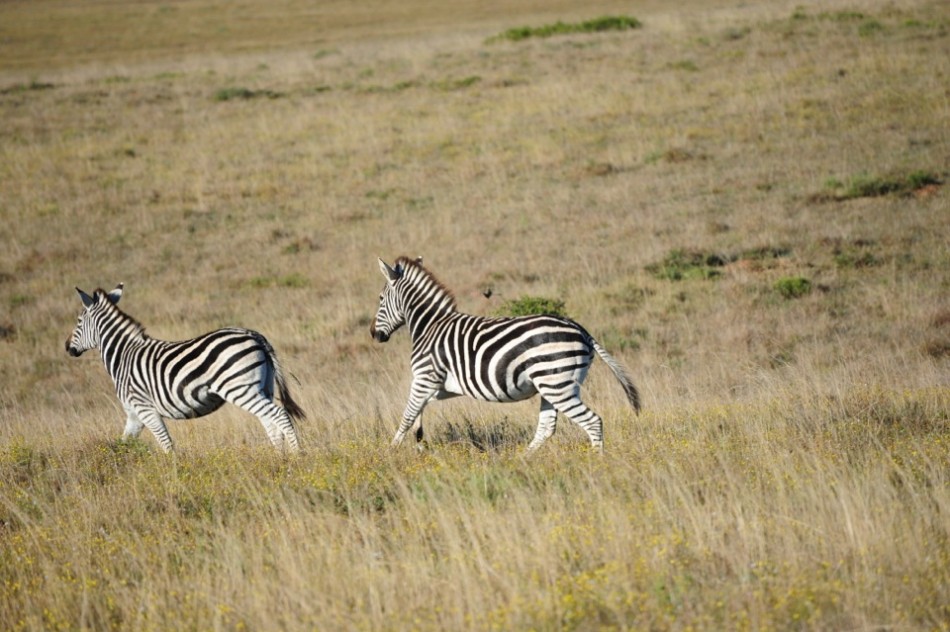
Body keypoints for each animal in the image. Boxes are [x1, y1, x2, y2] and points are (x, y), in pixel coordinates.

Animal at [65, 284, 304, 452]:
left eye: (78, 321)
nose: (67, 347)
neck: (124, 355)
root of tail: (255, 335)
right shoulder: (134, 415)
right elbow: (124, 443)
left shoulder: (145, 409)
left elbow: (167, 445)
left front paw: (174, 475)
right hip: (263, 387)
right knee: (271, 424)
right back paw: (280, 459)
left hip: (240, 389)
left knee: (280, 416)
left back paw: (297, 456)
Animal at [370, 256, 641, 452]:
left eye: (381, 298)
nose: (374, 334)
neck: (430, 325)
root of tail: (582, 330)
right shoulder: (443, 386)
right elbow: (418, 412)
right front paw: (418, 443)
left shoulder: (425, 377)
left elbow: (407, 415)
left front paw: (391, 453)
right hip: (553, 385)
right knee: (547, 427)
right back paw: (522, 460)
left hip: (557, 385)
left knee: (592, 422)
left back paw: (597, 462)